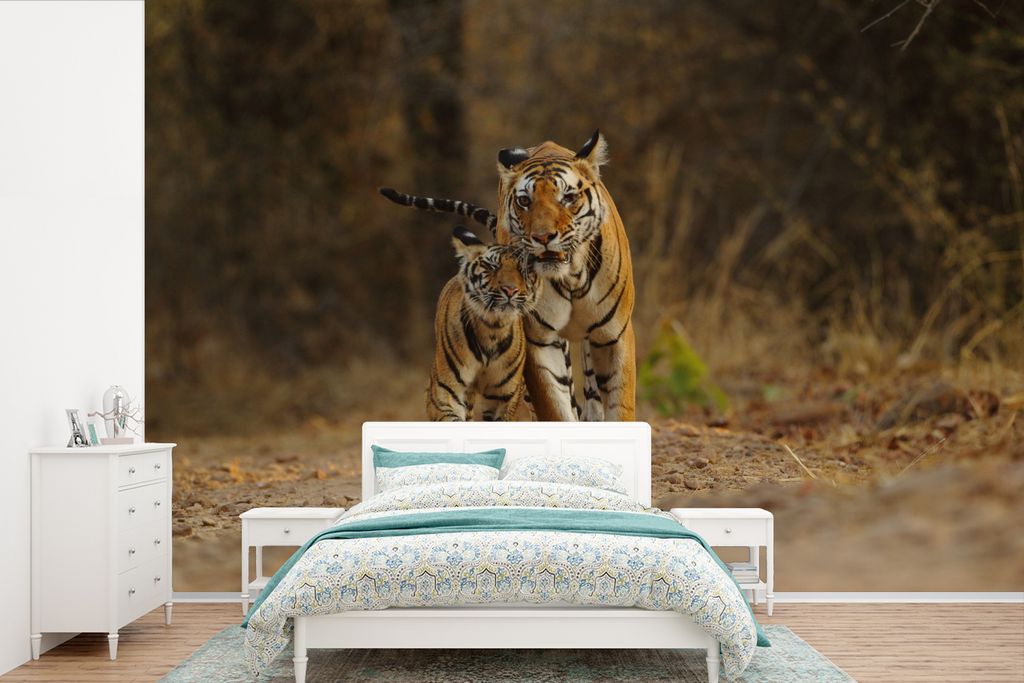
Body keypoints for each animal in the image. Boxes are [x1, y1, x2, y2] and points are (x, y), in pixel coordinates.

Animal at [426, 225, 540, 421]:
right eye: (492, 266)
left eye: (523, 270)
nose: (510, 290)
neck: (493, 329)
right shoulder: (443, 392)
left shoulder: (501, 398)